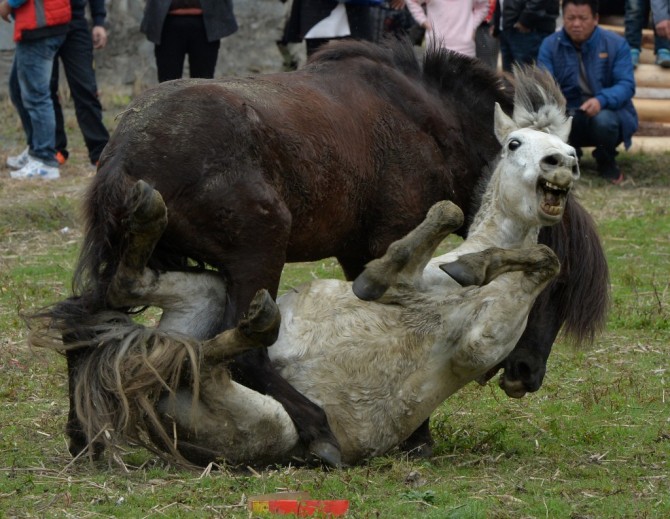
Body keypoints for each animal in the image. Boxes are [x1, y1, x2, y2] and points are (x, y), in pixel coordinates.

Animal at [55, 38, 608, 466]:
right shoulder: (375, 248)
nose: (527, 375)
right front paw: (416, 437)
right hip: (258, 254)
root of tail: (125, 150)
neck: (423, 121)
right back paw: (316, 430)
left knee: (85, 320)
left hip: (164, 268)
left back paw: (87, 439)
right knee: (244, 350)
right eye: (557, 289)